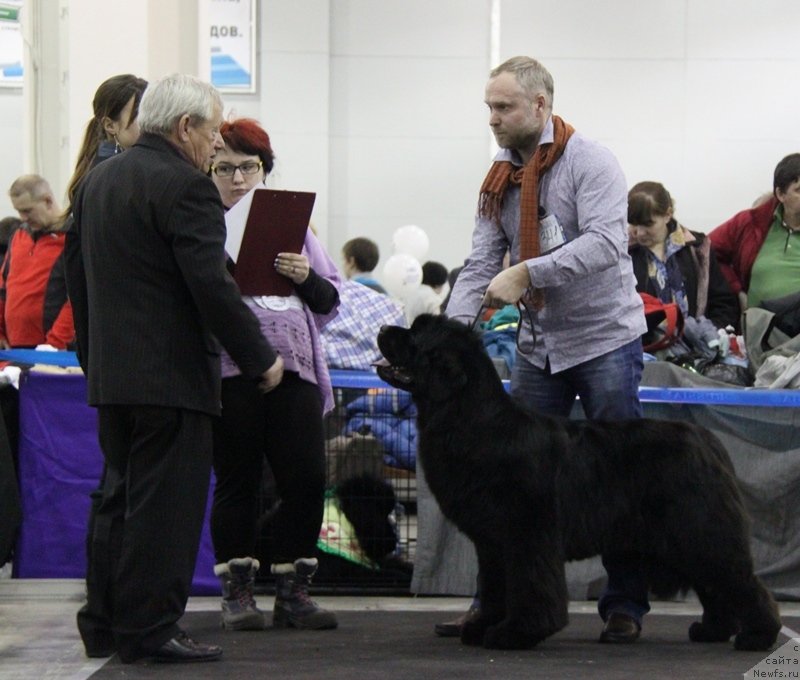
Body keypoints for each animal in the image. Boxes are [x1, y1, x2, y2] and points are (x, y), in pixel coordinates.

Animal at [376, 316, 780, 652]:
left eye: (414, 335)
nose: (383, 329)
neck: (474, 420)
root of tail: (708, 440)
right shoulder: (492, 542)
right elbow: (493, 587)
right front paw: (480, 627)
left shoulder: (527, 533)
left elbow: (530, 585)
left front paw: (517, 633)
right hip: (686, 536)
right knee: (715, 584)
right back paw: (712, 631)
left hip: (700, 528)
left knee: (739, 580)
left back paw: (757, 637)